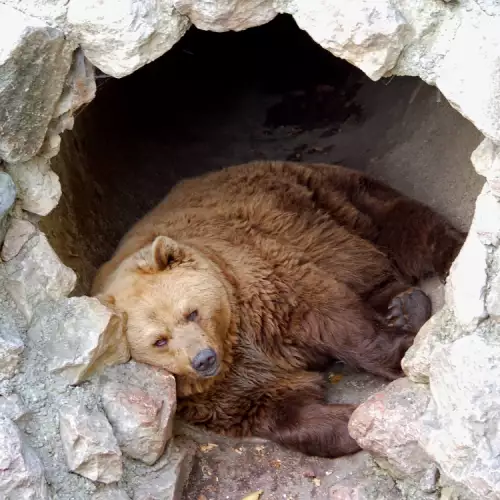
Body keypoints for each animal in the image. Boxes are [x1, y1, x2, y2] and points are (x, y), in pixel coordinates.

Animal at [93, 162, 464, 458]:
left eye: (191, 312)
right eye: (159, 341)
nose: (203, 359)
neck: (233, 338)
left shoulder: (266, 286)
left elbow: (336, 320)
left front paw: (399, 355)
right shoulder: (218, 392)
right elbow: (278, 407)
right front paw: (346, 421)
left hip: (327, 202)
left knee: (402, 226)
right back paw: (403, 307)